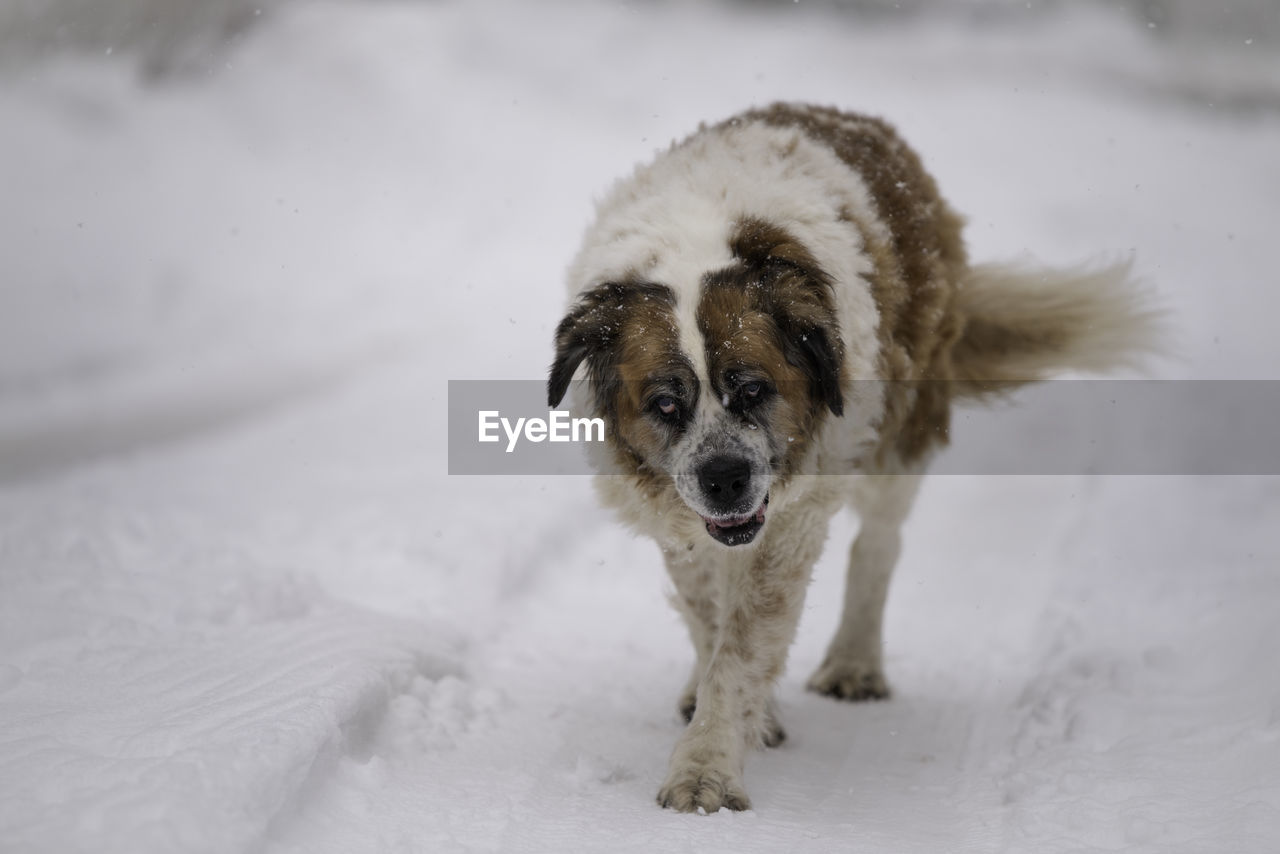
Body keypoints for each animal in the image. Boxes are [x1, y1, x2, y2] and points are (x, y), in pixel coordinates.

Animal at [545, 103, 1157, 814]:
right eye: (666, 404)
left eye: (752, 390)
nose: (724, 478)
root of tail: (857, 118)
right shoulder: (678, 519)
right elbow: (708, 614)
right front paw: (733, 710)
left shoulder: (792, 517)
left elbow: (743, 644)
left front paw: (707, 768)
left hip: (901, 429)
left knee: (880, 543)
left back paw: (855, 662)